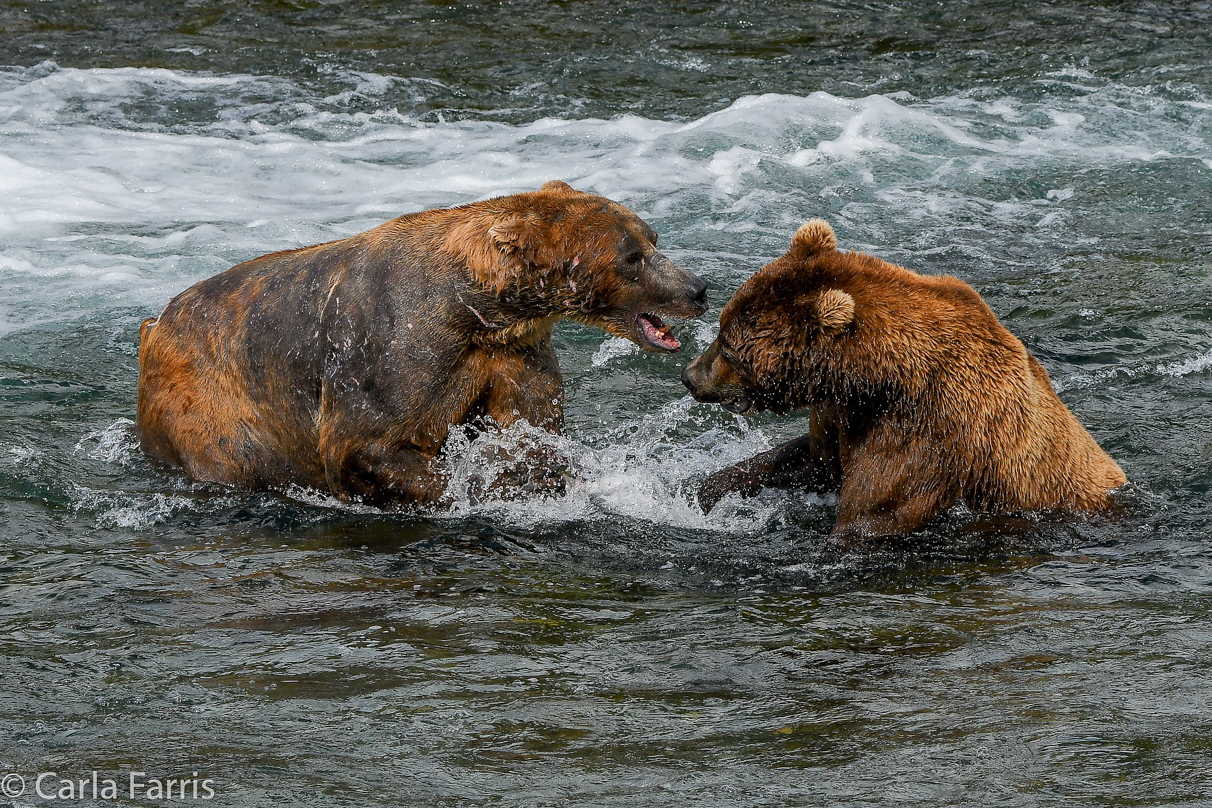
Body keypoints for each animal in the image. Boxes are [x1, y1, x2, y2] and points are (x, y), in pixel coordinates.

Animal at [138, 181, 707, 506]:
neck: (476, 307)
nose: (697, 288)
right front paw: (488, 485)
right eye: (631, 256)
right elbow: (366, 444)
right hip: (212, 407)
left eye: (652, 238)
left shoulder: (510, 353)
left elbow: (532, 427)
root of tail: (155, 325)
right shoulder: (390, 350)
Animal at [683, 218, 1124, 540]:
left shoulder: (924, 437)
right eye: (721, 328)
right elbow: (808, 458)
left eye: (729, 349)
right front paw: (703, 490)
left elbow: (870, 514)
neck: (877, 377)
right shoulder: (843, 411)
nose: (688, 376)